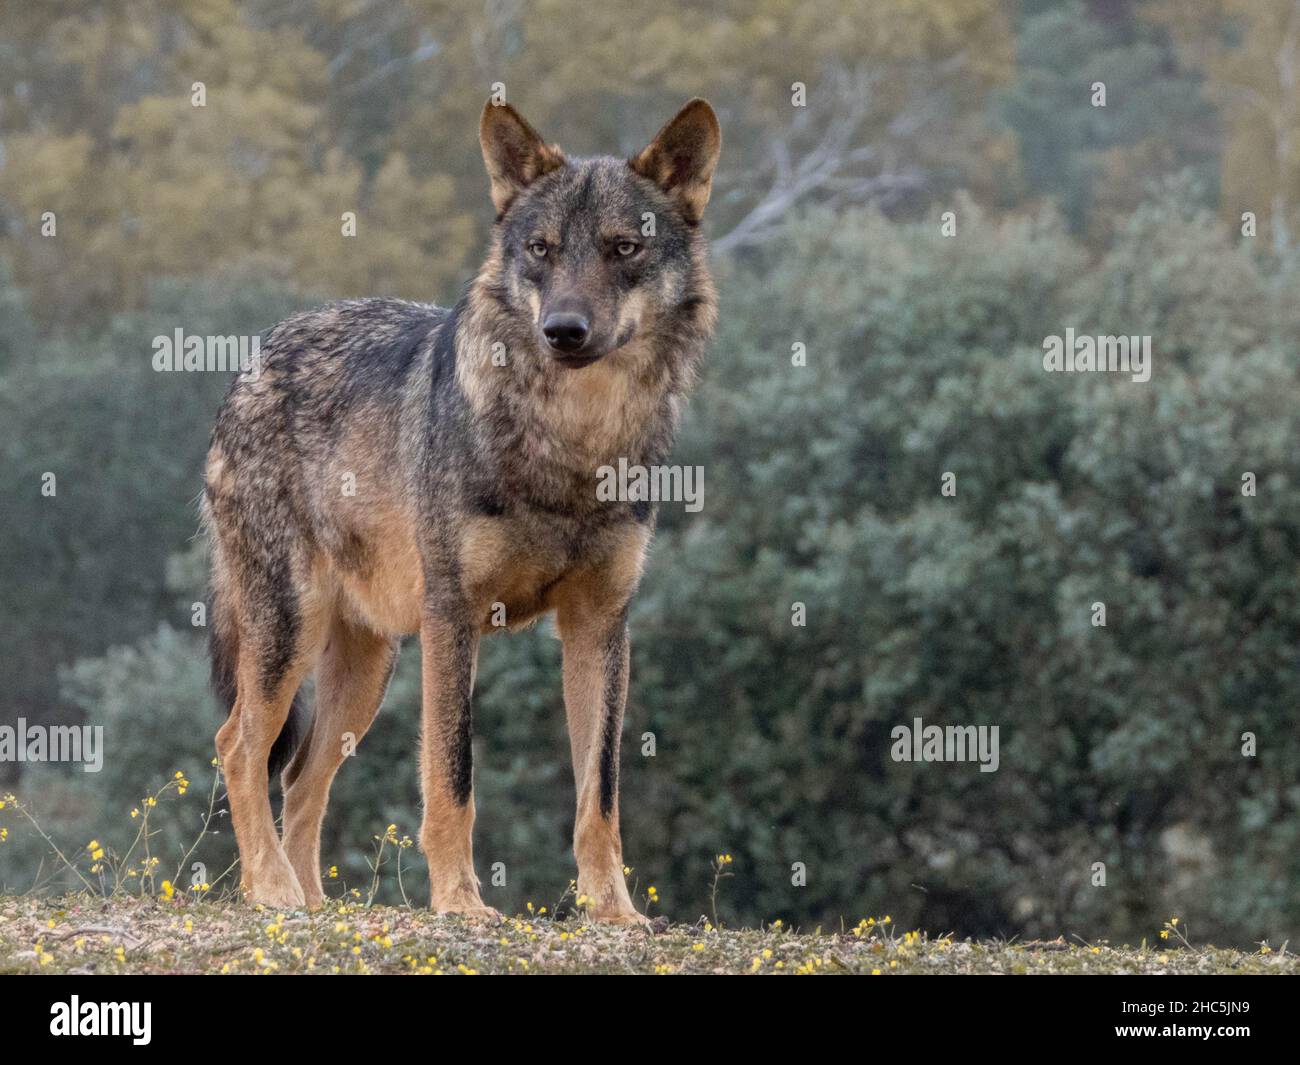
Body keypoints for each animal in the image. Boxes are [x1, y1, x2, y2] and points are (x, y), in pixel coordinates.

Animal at [202, 98, 722, 925]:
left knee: (299, 778)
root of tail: (252, 361)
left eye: (623, 248)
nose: (563, 330)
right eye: (541, 249)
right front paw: (460, 903)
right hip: (292, 630)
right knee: (240, 746)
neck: (568, 449)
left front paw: (615, 912)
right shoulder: (454, 614)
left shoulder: (602, 624)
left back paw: (316, 903)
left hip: (367, 671)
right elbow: (453, 778)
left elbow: (600, 795)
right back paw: (273, 891)